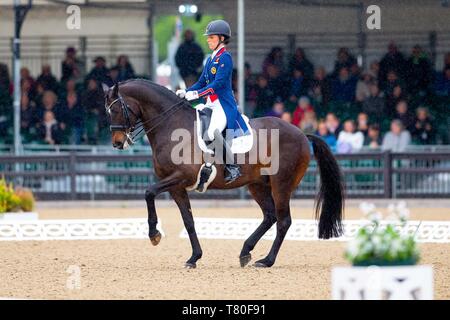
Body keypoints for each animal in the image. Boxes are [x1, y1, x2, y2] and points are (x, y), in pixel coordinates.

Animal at [103, 79, 344, 268]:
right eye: (107, 112)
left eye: (117, 110)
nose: (117, 143)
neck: (171, 125)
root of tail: (301, 133)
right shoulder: (176, 186)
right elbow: (188, 220)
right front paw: (194, 257)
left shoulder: (181, 177)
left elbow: (148, 192)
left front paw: (154, 235)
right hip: (257, 185)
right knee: (270, 216)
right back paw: (245, 252)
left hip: (281, 184)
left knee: (284, 221)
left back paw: (266, 261)